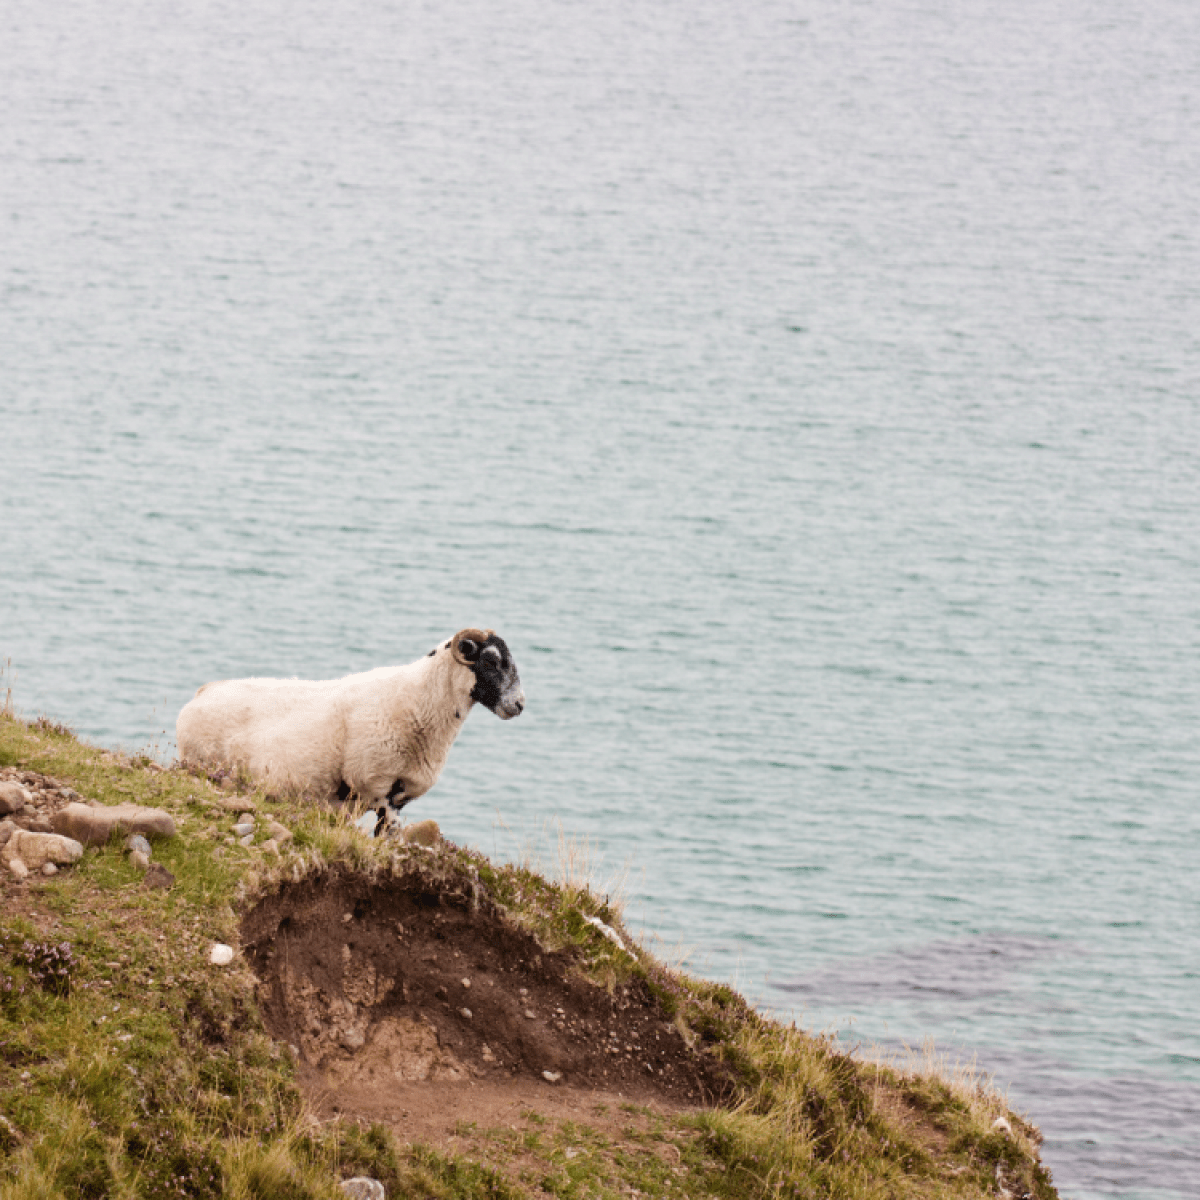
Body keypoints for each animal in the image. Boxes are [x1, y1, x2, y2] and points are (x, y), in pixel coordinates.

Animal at [176, 629, 524, 829]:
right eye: (490, 661)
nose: (519, 704)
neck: (417, 699)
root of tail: (203, 692)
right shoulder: (375, 784)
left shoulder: (400, 794)